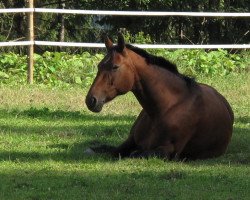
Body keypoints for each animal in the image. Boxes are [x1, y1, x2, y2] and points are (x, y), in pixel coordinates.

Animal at [85, 33, 233, 160]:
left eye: (115, 67)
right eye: (99, 65)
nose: (91, 100)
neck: (165, 107)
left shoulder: (168, 150)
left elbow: (135, 154)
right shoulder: (130, 141)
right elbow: (108, 151)